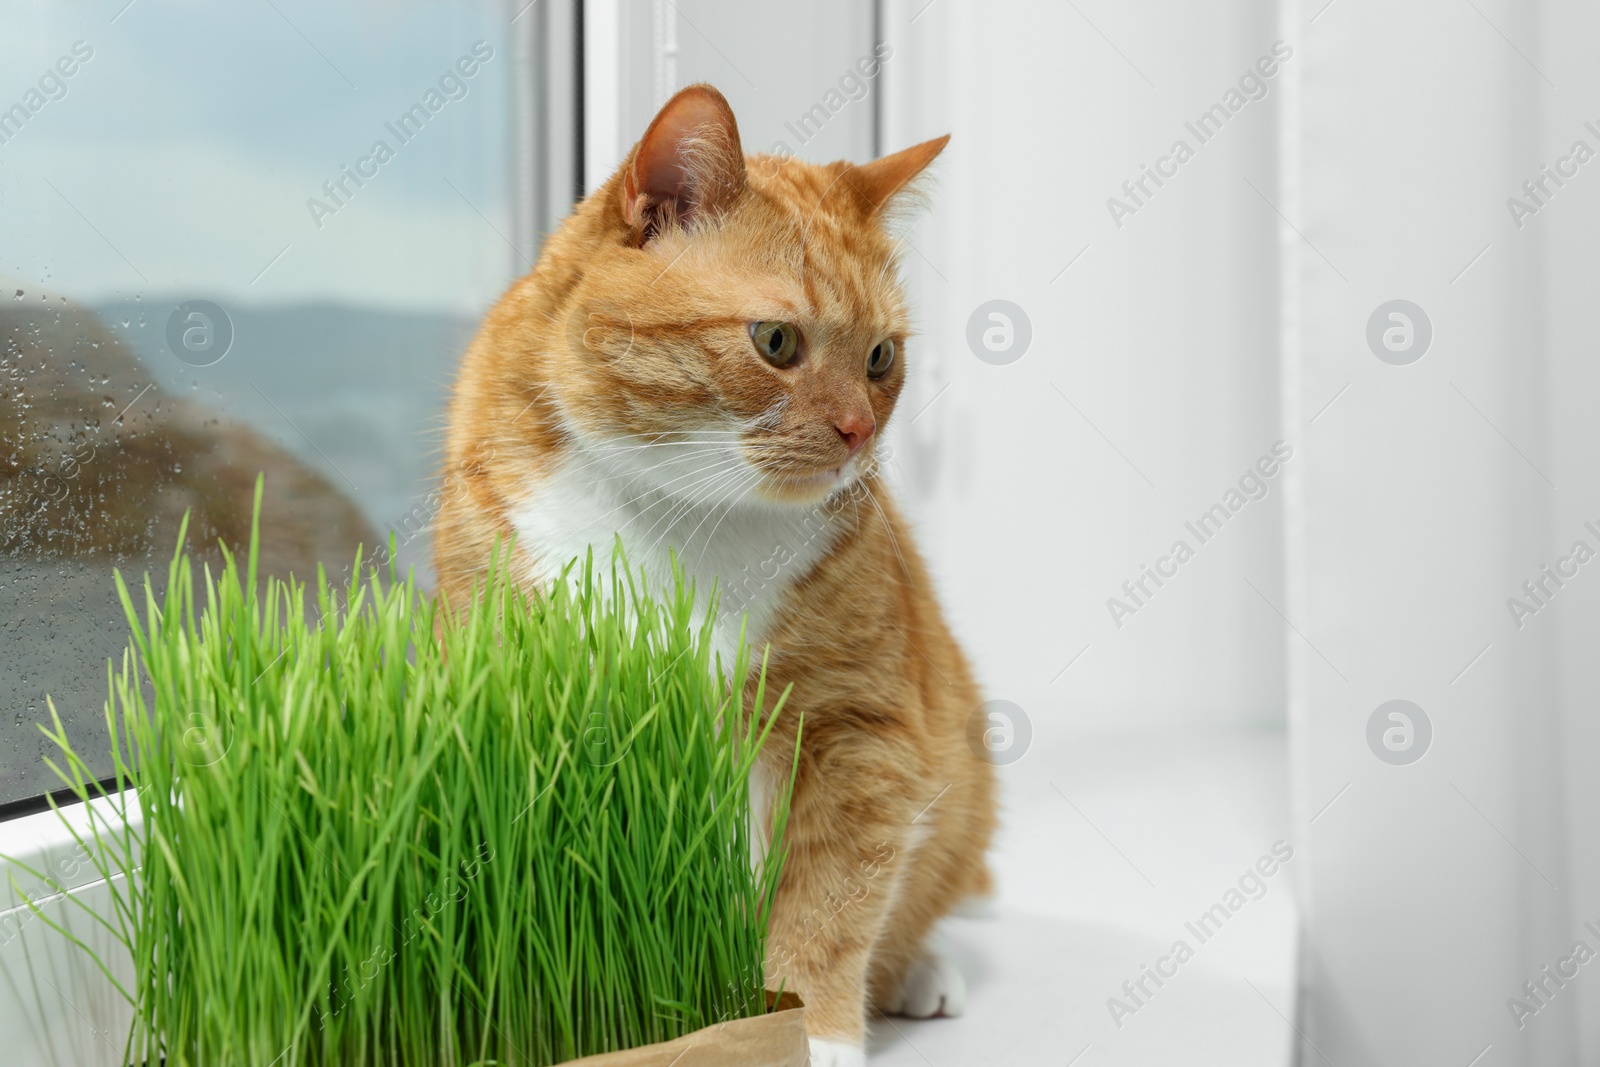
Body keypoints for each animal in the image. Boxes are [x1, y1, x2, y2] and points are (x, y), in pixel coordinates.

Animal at [432, 85, 992, 1067]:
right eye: (776, 340)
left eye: (881, 357)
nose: (858, 433)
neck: (688, 518)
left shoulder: (864, 732)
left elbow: (827, 907)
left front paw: (819, 1032)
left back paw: (920, 973)